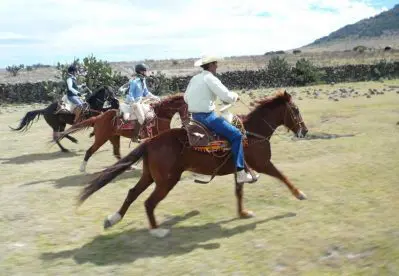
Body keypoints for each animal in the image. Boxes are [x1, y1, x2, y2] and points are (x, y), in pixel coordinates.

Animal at [54, 94, 189, 172]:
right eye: (188, 109)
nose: (186, 123)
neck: (161, 114)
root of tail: (99, 117)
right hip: (101, 138)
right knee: (90, 151)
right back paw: (82, 168)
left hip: (114, 137)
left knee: (117, 153)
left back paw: (129, 166)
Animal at [77, 90, 310, 237]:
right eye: (296, 110)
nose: (305, 131)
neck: (253, 133)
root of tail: (151, 141)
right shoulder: (263, 163)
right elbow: (282, 176)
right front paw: (300, 194)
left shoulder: (239, 168)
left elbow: (239, 191)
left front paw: (243, 213)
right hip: (166, 181)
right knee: (148, 202)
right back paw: (157, 230)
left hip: (150, 176)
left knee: (132, 193)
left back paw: (113, 218)